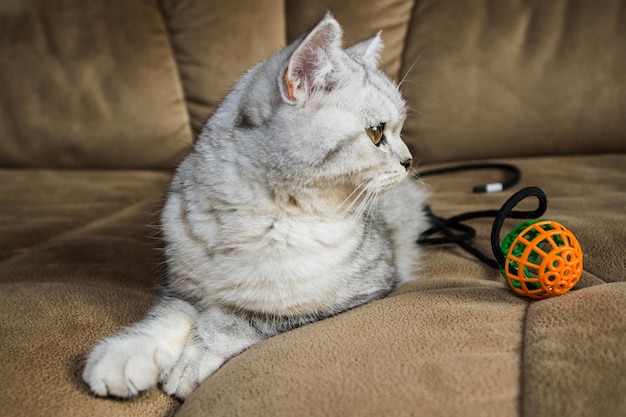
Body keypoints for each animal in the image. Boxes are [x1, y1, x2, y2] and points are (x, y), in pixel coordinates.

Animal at [80, 13, 426, 400]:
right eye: (376, 133)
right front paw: (126, 355)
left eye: (397, 130)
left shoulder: (348, 294)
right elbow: (168, 316)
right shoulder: (185, 286)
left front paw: (188, 365)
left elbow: (234, 320)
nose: (409, 161)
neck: (258, 218)